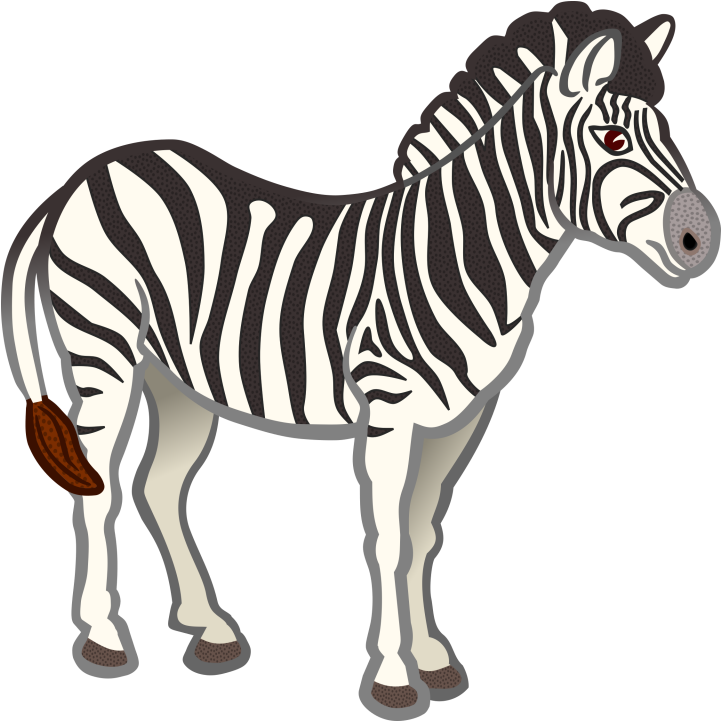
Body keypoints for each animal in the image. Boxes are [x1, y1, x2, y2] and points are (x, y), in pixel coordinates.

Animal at [2, 3, 717, 718]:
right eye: (614, 140)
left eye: (663, 132)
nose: (701, 243)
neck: (460, 253)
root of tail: (81, 180)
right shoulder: (389, 409)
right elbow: (390, 542)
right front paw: (394, 679)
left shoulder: (460, 420)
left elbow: (424, 535)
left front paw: (436, 662)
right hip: (104, 348)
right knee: (100, 484)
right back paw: (104, 640)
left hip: (177, 378)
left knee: (159, 485)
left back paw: (211, 632)